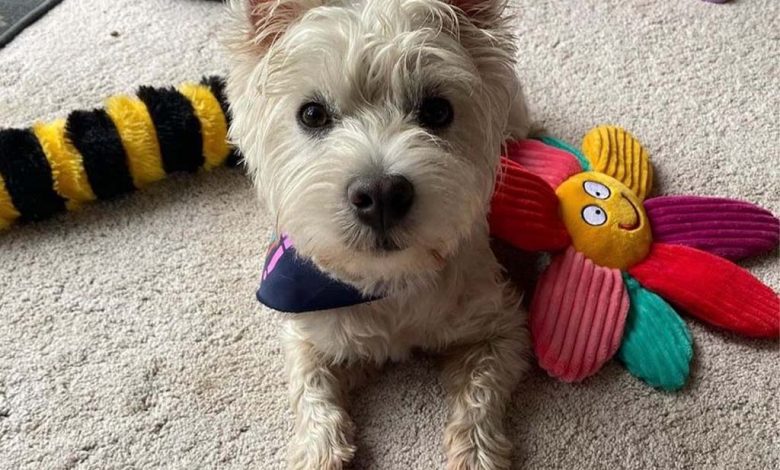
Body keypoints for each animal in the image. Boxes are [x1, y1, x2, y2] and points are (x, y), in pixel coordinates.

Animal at [224, 1, 532, 468]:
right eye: (312, 114)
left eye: (437, 111)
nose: (382, 194)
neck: (386, 283)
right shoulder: (305, 331)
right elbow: (311, 389)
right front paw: (319, 452)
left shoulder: (498, 325)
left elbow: (481, 393)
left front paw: (477, 454)